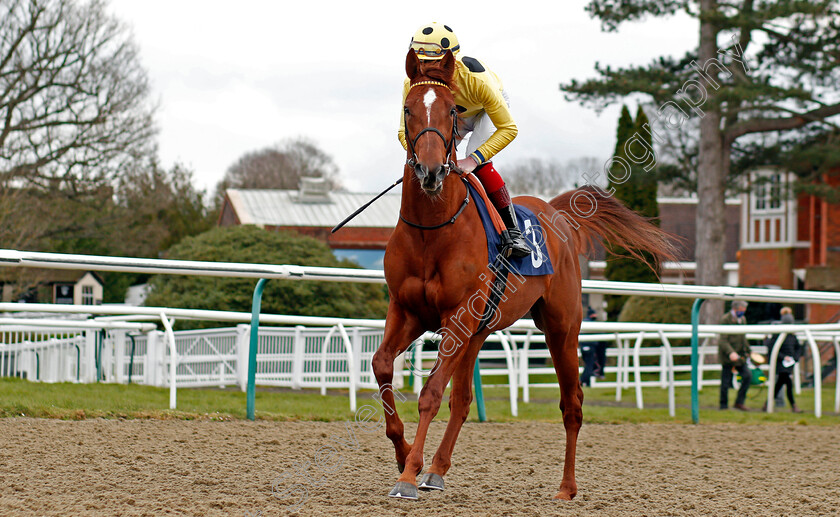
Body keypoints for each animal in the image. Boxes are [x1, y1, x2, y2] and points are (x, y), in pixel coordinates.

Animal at [374, 49, 676, 500]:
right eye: (408, 109)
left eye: (451, 110)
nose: (430, 172)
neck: (432, 230)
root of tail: (557, 213)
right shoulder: (407, 311)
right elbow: (381, 367)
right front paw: (403, 454)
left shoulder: (455, 318)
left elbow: (430, 393)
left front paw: (408, 474)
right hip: (479, 331)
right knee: (463, 399)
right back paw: (438, 470)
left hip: (561, 327)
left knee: (572, 403)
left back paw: (567, 487)